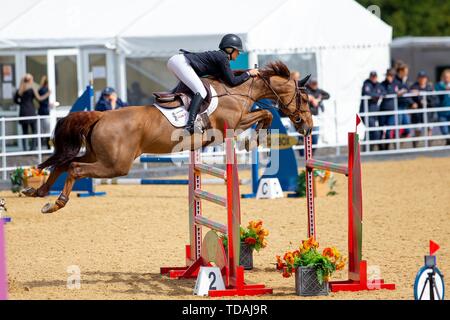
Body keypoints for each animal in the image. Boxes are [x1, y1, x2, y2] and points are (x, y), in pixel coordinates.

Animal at [21, 61, 312, 214]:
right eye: (304, 97)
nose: (308, 127)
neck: (235, 90)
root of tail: (100, 116)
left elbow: (265, 112)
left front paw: (256, 138)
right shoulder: (232, 124)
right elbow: (266, 113)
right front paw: (255, 139)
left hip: (98, 155)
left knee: (63, 163)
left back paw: (37, 191)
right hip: (116, 165)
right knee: (74, 167)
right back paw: (56, 203)